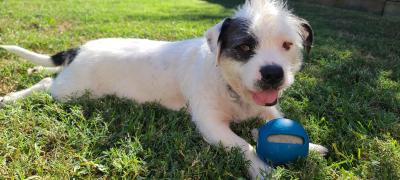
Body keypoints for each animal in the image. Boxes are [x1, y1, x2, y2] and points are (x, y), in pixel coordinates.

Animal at [0, 0, 326, 179]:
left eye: (287, 45)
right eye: (245, 47)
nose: (273, 73)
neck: (230, 85)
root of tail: (80, 49)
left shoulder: (267, 110)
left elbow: (280, 124)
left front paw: (310, 146)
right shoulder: (211, 125)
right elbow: (242, 145)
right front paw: (259, 167)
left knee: (50, 73)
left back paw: (34, 70)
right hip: (71, 92)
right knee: (47, 85)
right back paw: (13, 97)